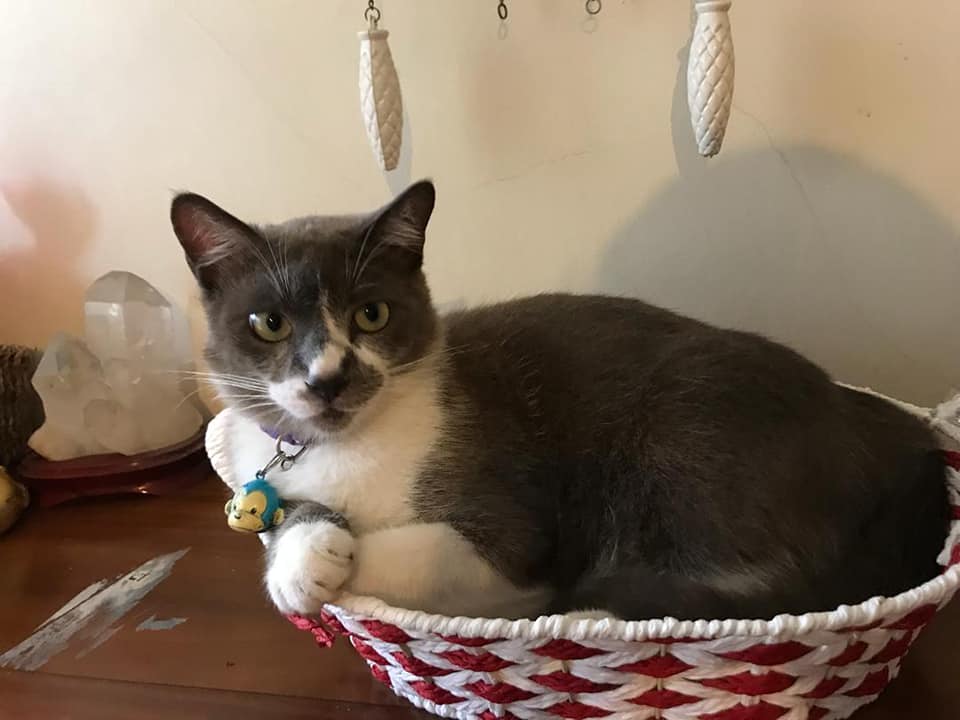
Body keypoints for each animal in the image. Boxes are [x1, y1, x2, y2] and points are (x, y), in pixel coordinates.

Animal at [172, 180, 950, 621]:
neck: (349, 446)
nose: (327, 379)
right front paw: (299, 554)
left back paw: (608, 609)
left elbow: (424, 552)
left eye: (371, 315)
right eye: (269, 323)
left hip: (682, 437)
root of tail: (897, 445)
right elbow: (283, 512)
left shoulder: (513, 527)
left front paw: (315, 564)